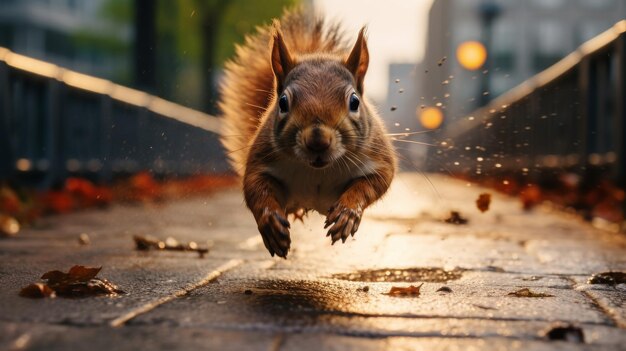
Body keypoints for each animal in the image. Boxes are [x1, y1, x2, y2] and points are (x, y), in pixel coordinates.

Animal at [218, 9, 394, 260]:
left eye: (354, 101)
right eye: (283, 102)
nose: (318, 141)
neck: (317, 170)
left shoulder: (378, 160)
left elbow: (370, 184)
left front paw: (347, 214)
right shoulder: (260, 161)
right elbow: (256, 190)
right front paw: (271, 224)